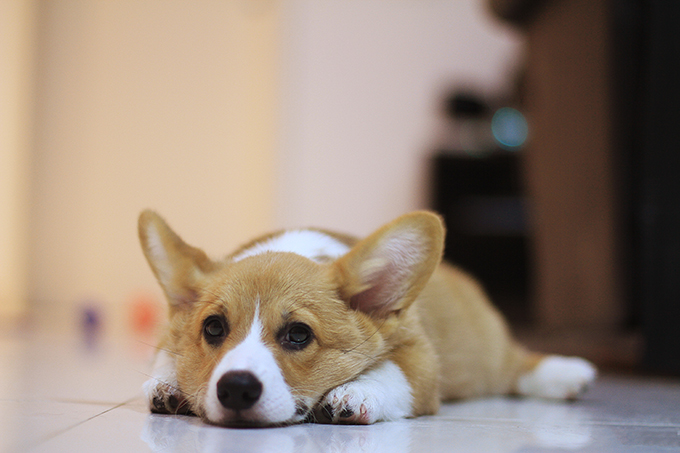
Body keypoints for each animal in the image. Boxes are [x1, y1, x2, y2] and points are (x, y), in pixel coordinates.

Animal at [138, 210, 596, 426]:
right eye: (213, 328)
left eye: (298, 334)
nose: (235, 389)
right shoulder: (169, 337)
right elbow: (165, 358)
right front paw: (168, 385)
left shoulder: (421, 362)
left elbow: (393, 374)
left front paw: (357, 393)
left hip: (488, 354)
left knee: (517, 364)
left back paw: (566, 373)